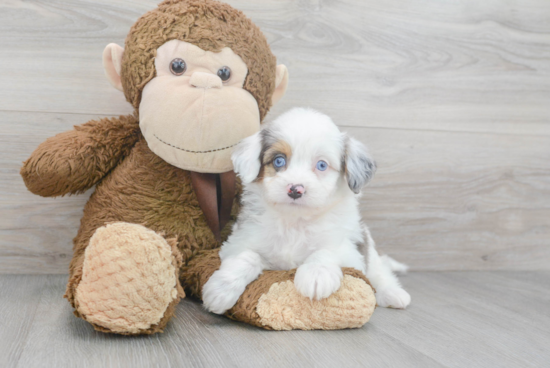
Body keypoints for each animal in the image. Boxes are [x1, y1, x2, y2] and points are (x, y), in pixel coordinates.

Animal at [202, 108, 410, 314]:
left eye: (322, 165)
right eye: (279, 161)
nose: (295, 189)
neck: (295, 221)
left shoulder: (350, 252)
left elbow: (327, 251)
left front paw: (316, 274)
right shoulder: (240, 241)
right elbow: (247, 257)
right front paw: (221, 289)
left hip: (368, 248)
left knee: (380, 272)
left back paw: (392, 293)